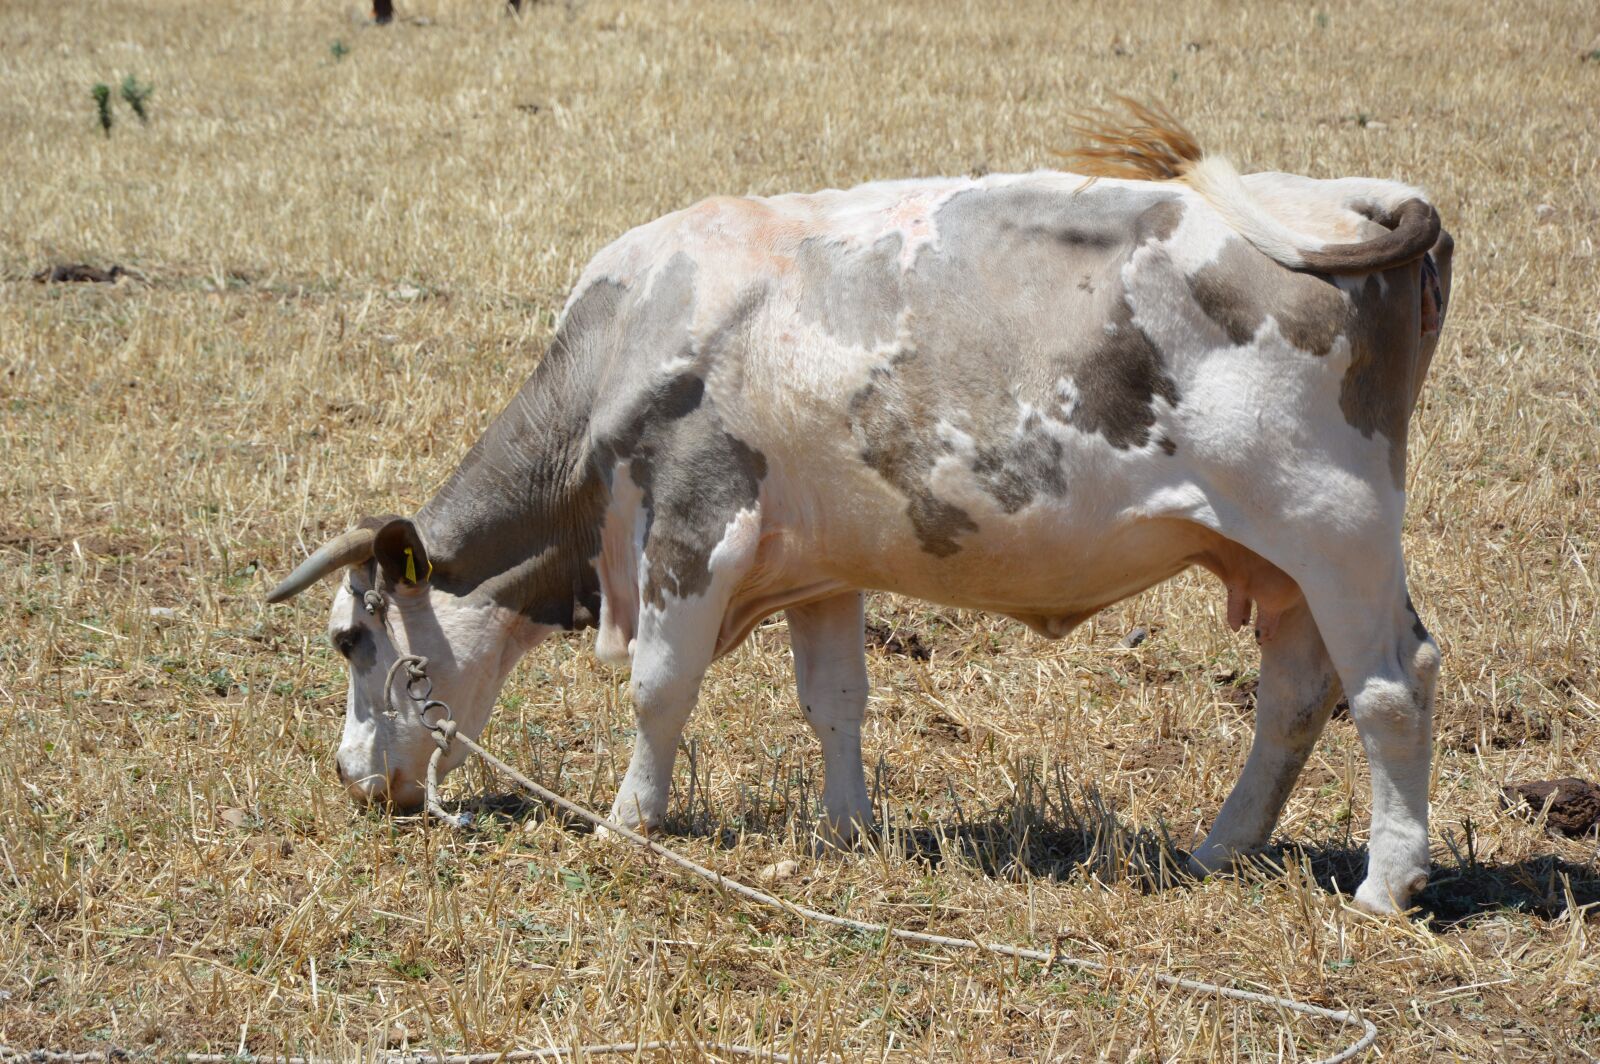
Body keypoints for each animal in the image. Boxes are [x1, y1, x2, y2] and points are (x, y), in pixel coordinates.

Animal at [266, 103, 1453, 915]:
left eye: (352, 638)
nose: (354, 778)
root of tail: (1355, 196)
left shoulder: (696, 528)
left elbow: (657, 689)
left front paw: (624, 824)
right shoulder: (819, 567)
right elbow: (834, 699)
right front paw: (845, 830)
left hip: (1333, 526)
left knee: (1391, 686)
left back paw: (1384, 885)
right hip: (1279, 560)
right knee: (1295, 695)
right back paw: (1218, 849)